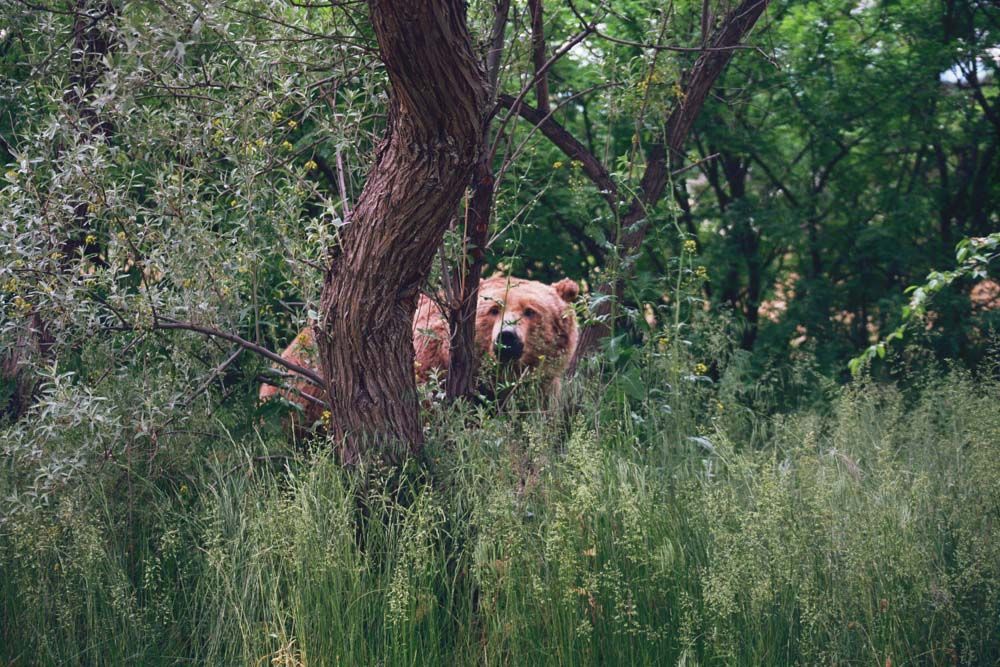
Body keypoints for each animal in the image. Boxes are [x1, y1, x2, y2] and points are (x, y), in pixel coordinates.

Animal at [258, 275, 580, 430]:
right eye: (493, 309)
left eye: (530, 311)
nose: (507, 338)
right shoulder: (429, 375)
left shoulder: (538, 393)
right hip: (300, 396)